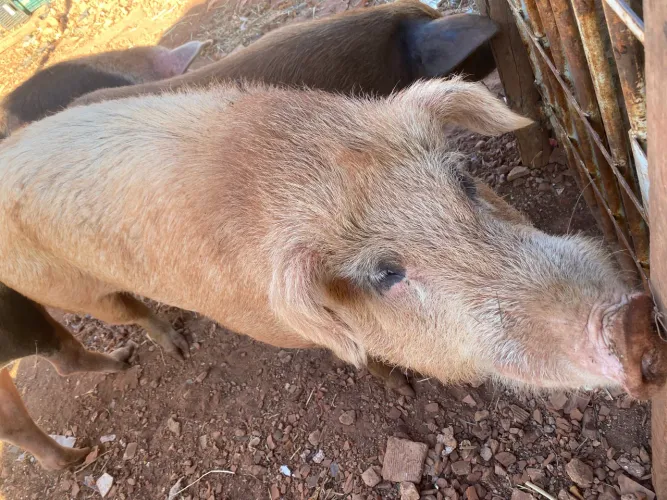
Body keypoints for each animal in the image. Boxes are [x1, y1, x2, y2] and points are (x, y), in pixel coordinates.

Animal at [1, 77, 665, 409]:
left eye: (464, 180)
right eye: (386, 274)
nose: (629, 319)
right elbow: (362, 357)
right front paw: (401, 387)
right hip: (70, 292)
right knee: (127, 312)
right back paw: (177, 346)